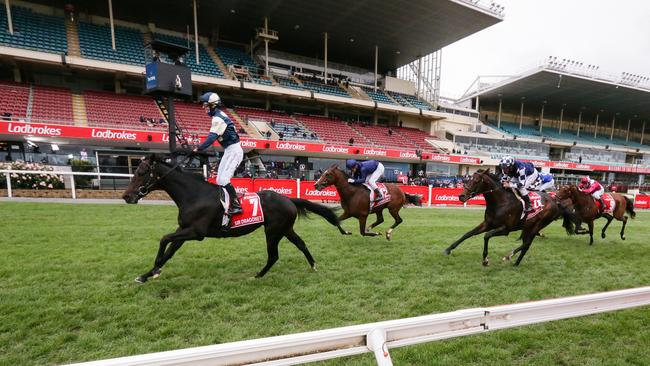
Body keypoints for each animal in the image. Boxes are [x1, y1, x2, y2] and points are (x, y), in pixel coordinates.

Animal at [440, 169, 572, 266]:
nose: (461, 196)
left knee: (527, 243)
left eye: (476, 180)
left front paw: (485, 260)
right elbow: (468, 234)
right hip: (527, 227)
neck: (501, 202)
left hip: (538, 225)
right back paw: (515, 262)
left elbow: (486, 236)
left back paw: (510, 257)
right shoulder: (487, 223)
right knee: (526, 244)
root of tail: (556, 201)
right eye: (468, 179)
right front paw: (448, 249)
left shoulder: (506, 229)